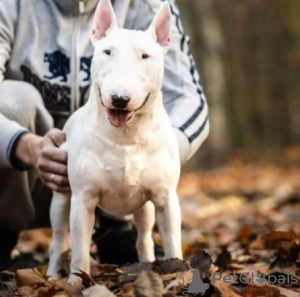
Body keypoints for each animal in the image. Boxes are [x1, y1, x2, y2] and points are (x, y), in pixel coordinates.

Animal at [47, 0, 183, 284]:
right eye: (107, 52)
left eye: (145, 56)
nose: (120, 99)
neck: (126, 137)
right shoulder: (83, 200)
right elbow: (80, 249)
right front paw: (77, 282)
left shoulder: (165, 198)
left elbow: (173, 242)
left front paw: (179, 273)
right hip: (61, 196)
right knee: (59, 239)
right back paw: (53, 276)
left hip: (144, 208)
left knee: (144, 237)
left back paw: (147, 264)